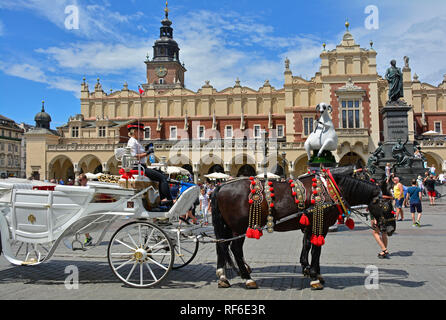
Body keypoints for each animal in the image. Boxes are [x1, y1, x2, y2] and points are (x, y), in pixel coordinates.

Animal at [210, 169, 394, 292]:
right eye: (386, 205)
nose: (391, 228)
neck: (330, 190)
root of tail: (220, 186)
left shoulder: (311, 225)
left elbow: (308, 246)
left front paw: (311, 271)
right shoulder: (321, 224)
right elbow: (316, 249)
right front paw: (314, 277)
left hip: (227, 227)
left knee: (222, 246)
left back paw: (223, 277)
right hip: (239, 227)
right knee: (235, 249)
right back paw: (247, 279)